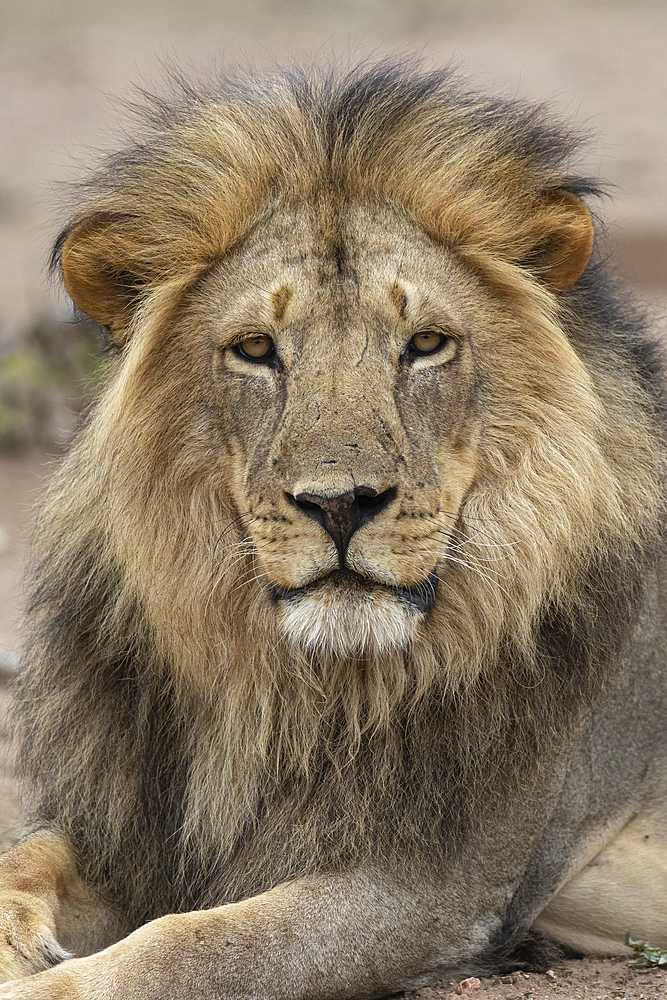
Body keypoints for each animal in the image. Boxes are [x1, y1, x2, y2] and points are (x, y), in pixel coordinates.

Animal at [1, 62, 667, 1000]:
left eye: (425, 344)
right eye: (255, 349)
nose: (341, 502)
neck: (290, 688)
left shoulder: (437, 886)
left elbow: (201, 944)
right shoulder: (136, 820)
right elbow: (27, 856)